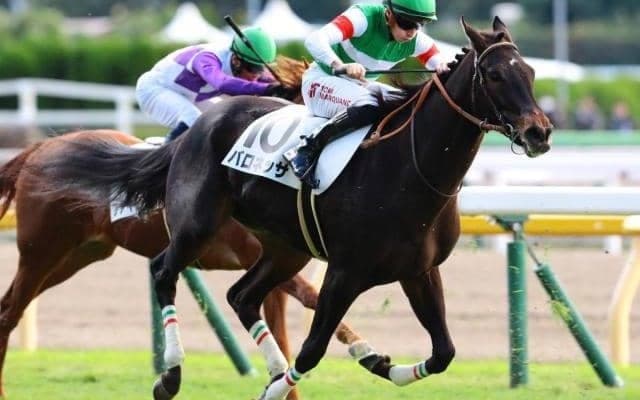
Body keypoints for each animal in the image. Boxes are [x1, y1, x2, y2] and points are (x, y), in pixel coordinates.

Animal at [36, 17, 552, 400]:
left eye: (529, 73)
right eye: (495, 75)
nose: (540, 132)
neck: (409, 166)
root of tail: (200, 123)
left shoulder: (420, 269)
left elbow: (444, 351)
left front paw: (384, 364)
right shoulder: (345, 271)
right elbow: (311, 350)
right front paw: (278, 388)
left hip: (287, 246)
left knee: (242, 296)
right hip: (197, 224)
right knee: (164, 272)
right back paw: (171, 375)